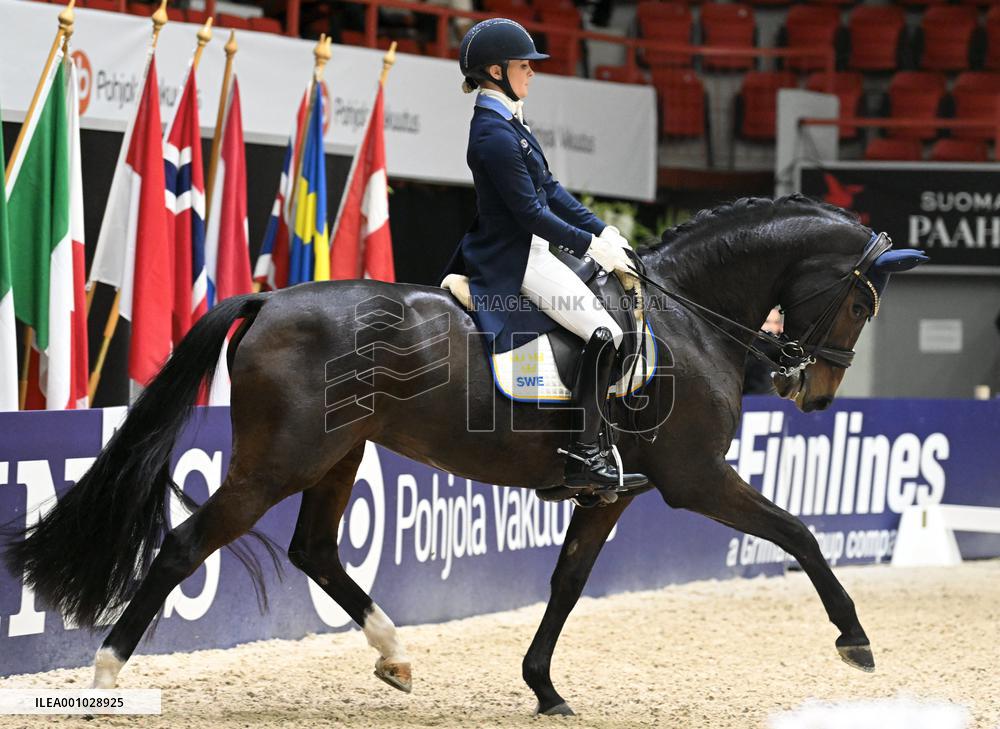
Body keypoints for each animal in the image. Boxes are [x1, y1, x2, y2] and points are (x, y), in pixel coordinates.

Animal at [4, 194, 926, 716]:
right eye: (862, 302)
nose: (815, 393)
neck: (688, 316)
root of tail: (268, 300)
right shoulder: (696, 478)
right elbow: (799, 534)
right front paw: (855, 639)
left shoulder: (612, 493)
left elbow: (567, 583)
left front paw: (544, 687)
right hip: (278, 462)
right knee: (184, 545)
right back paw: (104, 677)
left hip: (338, 456)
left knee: (315, 550)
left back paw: (397, 656)